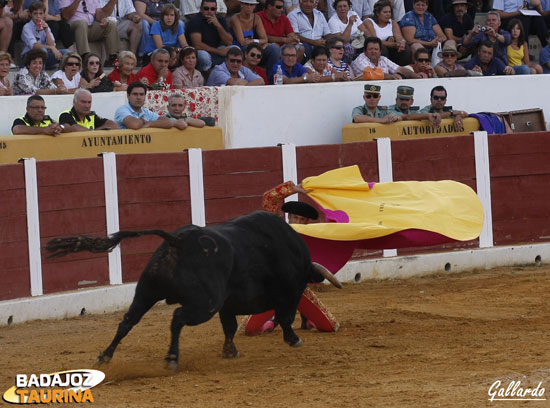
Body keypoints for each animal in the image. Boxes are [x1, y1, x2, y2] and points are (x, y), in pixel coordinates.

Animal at [45, 212, 342, 368]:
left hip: (146, 293)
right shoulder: (287, 294)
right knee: (177, 318)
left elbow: (229, 328)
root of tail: (177, 240)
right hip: (204, 304)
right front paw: (294, 339)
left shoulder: (227, 305)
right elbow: (285, 318)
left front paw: (229, 351)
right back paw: (171, 358)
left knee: (128, 321)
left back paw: (105, 356)